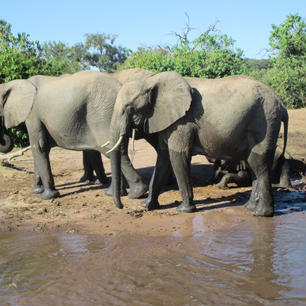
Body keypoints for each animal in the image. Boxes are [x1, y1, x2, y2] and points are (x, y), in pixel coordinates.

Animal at [0, 71, 147, 201]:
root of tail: (119, 86)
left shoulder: (33, 115)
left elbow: (39, 146)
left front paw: (46, 196)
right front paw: (36, 191)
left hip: (103, 115)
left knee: (110, 151)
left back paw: (135, 193)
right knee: (116, 150)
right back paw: (116, 192)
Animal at [106, 71, 288, 218]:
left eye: (129, 108)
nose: (122, 206)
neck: (150, 81)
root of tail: (282, 105)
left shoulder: (183, 122)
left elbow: (177, 156)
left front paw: (184, 210)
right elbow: (163, 159)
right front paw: (146, 206)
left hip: (264, 122)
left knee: (258, 163)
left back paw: (261, 214)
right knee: (254, 163)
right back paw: (249, 207)